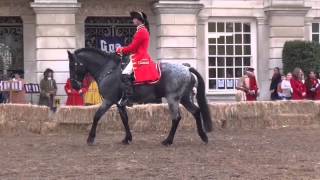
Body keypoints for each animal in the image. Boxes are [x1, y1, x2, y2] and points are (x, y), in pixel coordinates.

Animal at [67, 48, 212, 146]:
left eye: (73, 65)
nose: (74, 85)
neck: (108, 70)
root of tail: (186, 68)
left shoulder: (108, 101)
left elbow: (96, 116)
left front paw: (90, 138)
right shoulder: (119, 103)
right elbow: (125, 119)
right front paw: (127, 138)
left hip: (173, 99)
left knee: (176, 118)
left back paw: (168, 140)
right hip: (184, 98)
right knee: (196, 111)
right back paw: (203, 136)